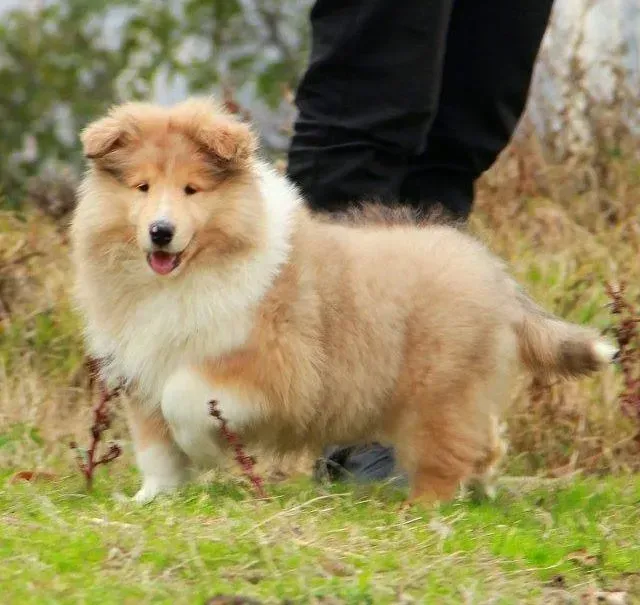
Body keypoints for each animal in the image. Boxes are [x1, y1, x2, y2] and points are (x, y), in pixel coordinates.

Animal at [72, 99, 616, 502]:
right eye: (142, 187)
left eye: (192, 189)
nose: (160, 233)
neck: (186, 276)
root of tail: (492, 272)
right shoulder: (143, 363)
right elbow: (156, 446)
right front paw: (152, 499)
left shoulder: (267, 366)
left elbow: (183, 398)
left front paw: (203, 450)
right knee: (483, 441)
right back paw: (480, 487)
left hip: (438, 391)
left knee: (447, 454)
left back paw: (425, 509)